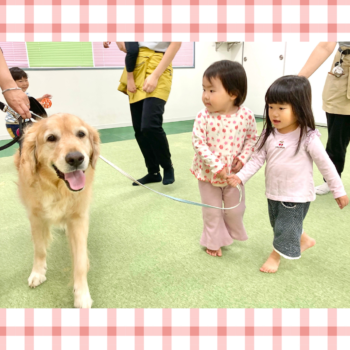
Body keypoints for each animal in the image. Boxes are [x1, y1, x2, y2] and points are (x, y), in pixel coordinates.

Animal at [14, 113, 100, 308]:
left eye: (81, 134)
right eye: (51, 138)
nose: (76, 158)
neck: (58, 188)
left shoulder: (78, 219)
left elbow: (80, 261)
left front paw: (81, 294)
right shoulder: (36, 217)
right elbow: (39, 249)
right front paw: (38, 272)